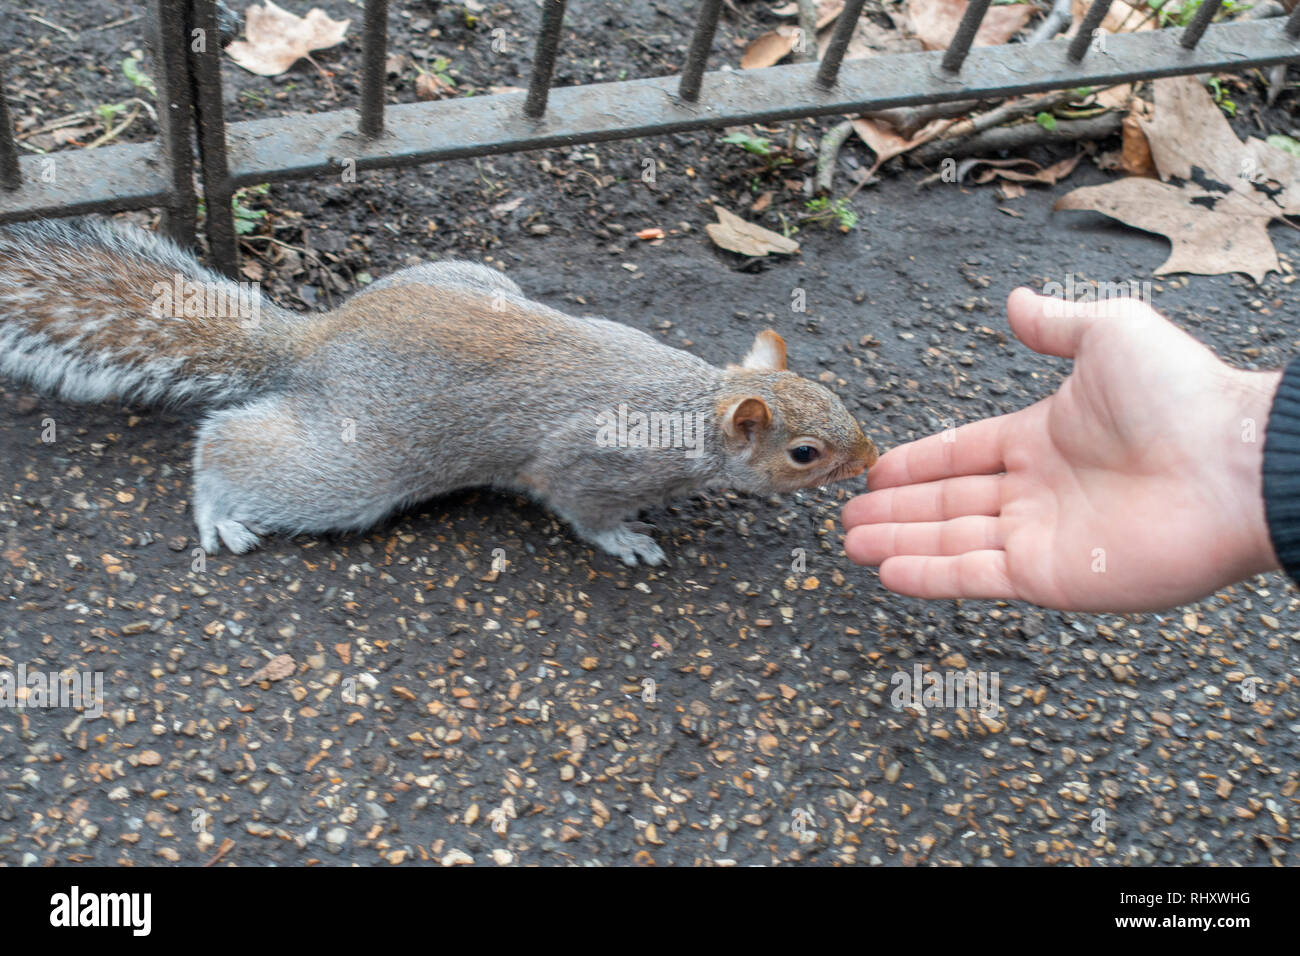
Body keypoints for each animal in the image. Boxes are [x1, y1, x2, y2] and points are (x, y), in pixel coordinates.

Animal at [0, 217, 878, 564]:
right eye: (805, 453)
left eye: (838, 398)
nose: (871, 460)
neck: (693, 405)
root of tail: (316, 341)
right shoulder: (590, 462)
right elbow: (580, 506)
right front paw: (626, 539)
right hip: (358, 465)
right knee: (229, 445)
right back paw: (220, 512)